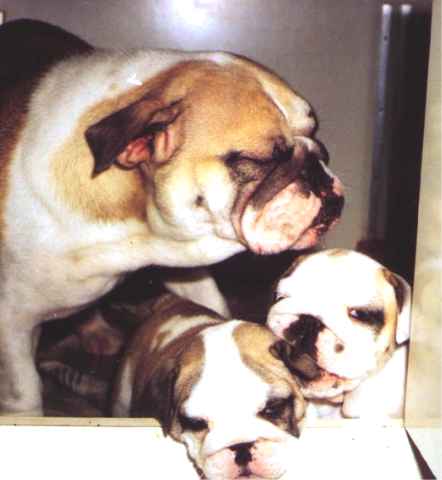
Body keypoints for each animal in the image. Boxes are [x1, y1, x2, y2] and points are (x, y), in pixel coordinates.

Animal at [0, 19, 343, 415]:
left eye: (317, 135)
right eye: (258, 161)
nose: (320, 169)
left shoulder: (184, 264)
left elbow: (212, 305)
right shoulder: (11, 325)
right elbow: (24, 391)